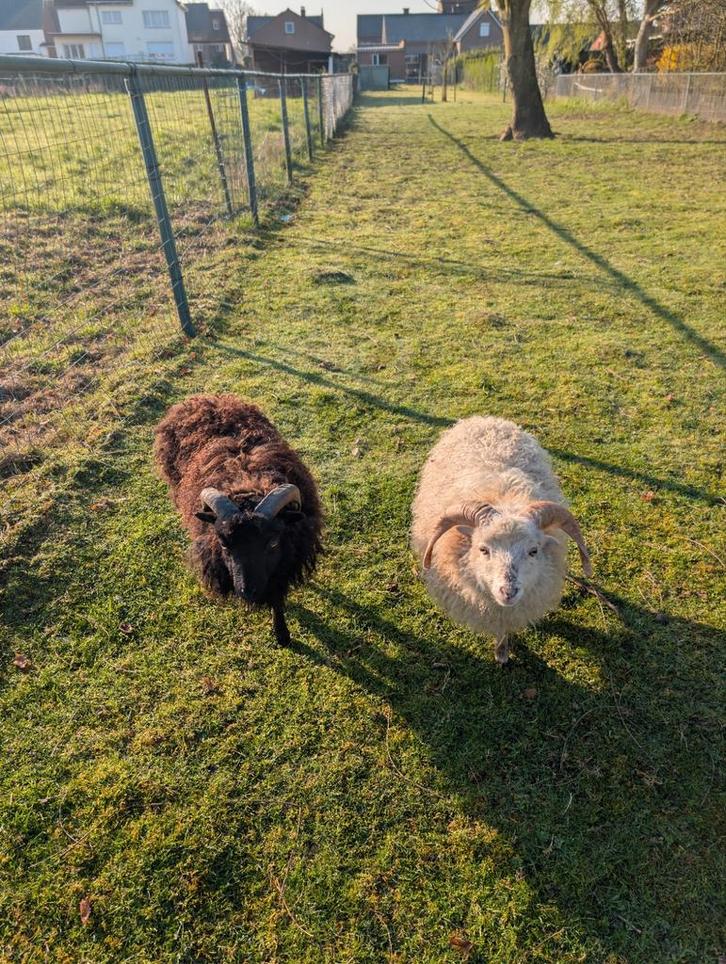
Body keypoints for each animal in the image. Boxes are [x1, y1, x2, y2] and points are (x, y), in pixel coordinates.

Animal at [154, 394, 322, 646]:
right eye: (224, 544)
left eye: (273, 543)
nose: (246, 592)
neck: (247, 481)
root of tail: (205, 397)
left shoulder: (284, 563)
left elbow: (277, 597)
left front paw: (282, 634)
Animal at [410, 416, 591, 664]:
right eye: (483, 549)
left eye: (533, 551)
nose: (508, 591)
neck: (503, 497)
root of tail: (484, 419)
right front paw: (502, 652)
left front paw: (502, 651)